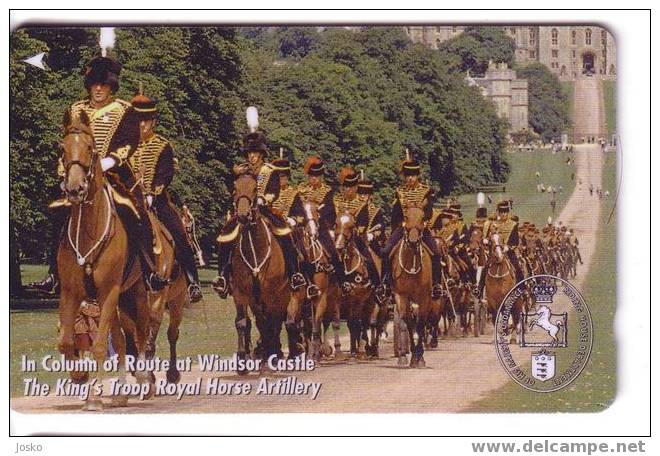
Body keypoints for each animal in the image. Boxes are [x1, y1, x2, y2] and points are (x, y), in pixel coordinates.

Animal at [228, 175, 306, 366]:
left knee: (288, 322)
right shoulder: (242, 292)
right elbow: (244, 322)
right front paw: (243, 358)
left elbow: (274, 323)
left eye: (255, 189)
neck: (255, 251)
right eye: (234, 188)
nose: (243, 215)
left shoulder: (272, 294)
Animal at [390, 207, 430, 366]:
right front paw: (411, 356)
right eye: (406, 216)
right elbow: (406, 322)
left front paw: (419, 358)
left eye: (422, 218)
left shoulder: (424, 298)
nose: (413, 242)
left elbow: (421, 323)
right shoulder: (401, 296)